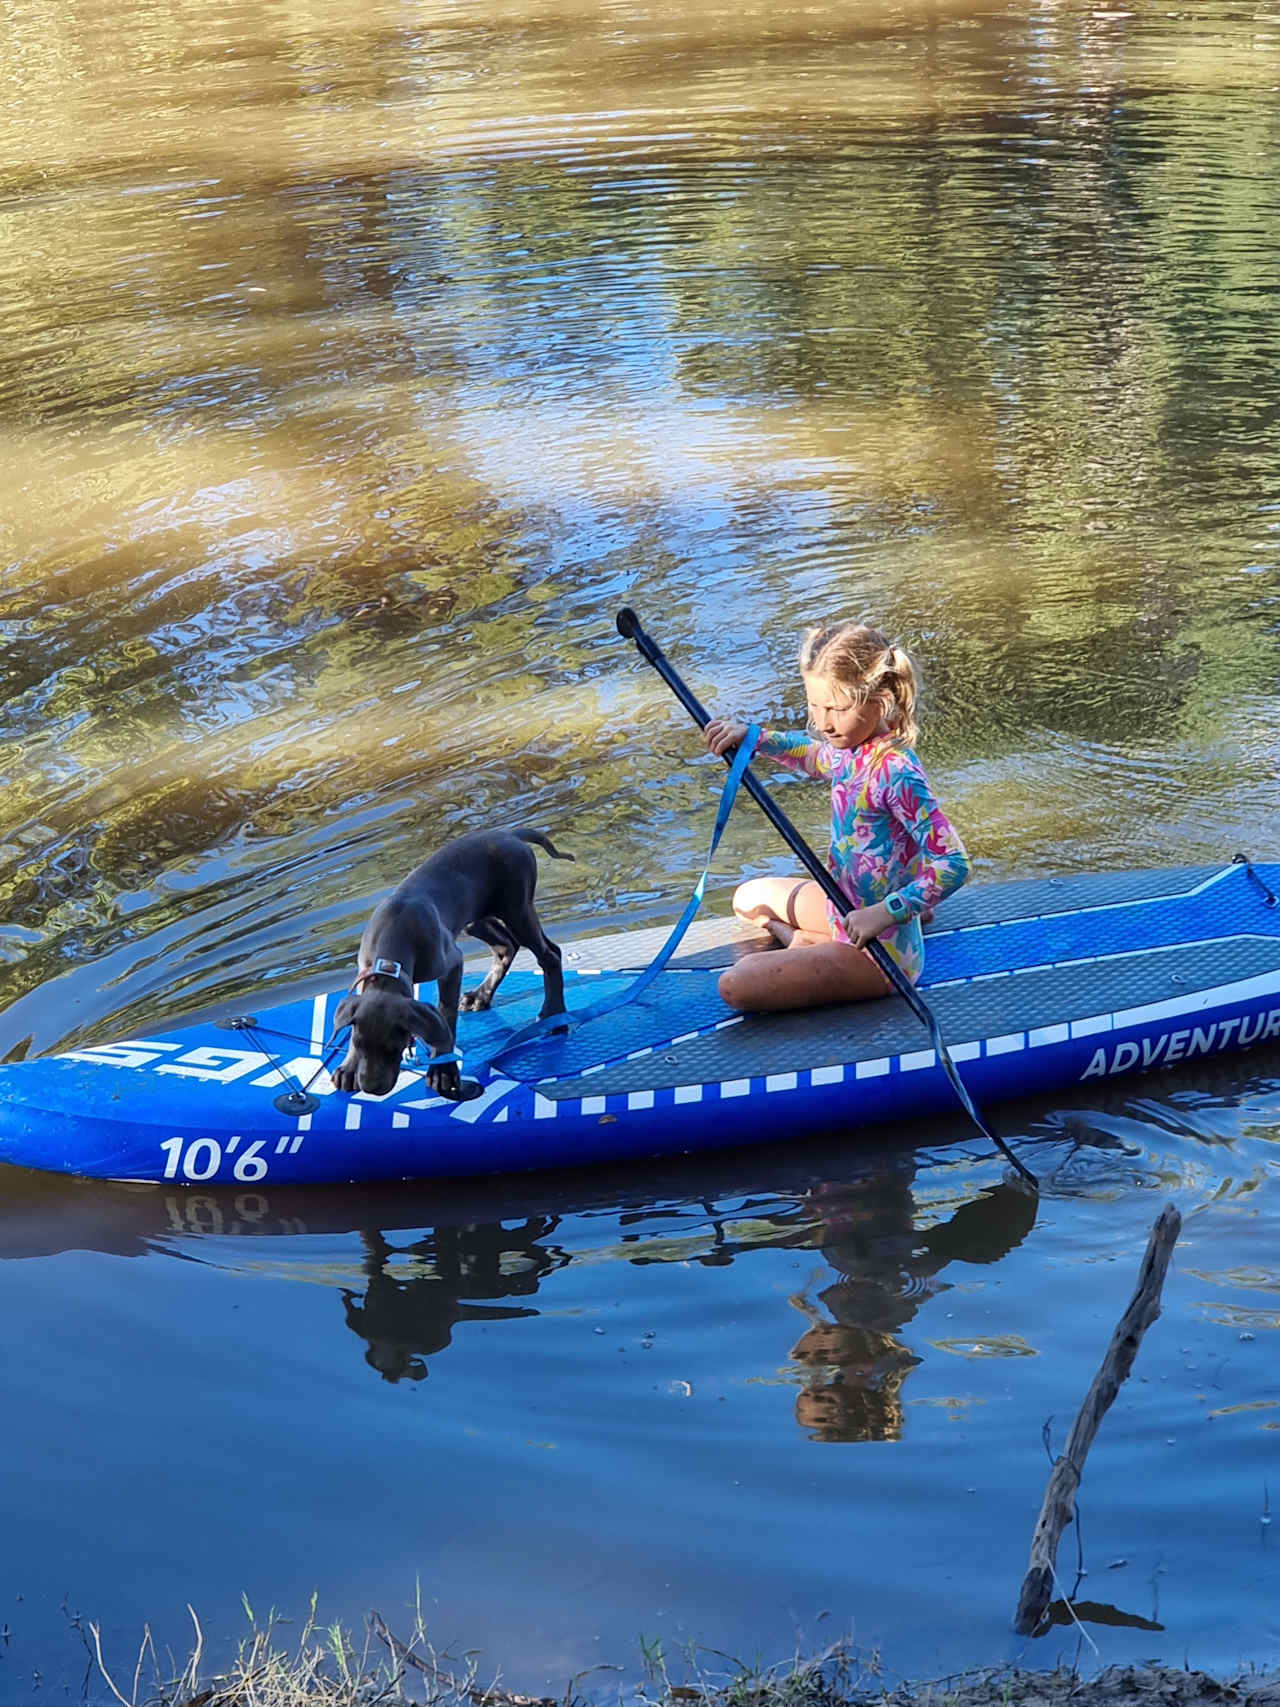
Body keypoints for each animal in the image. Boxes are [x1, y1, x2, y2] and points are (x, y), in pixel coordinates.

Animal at [332, 829, 573, 1099]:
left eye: (395, 1047)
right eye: (359, 1044)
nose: (372, 1089)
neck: (388, 961)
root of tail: (509, 833)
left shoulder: (452, 963)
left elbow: (445, 1014)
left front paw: (443, 1070)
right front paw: (348, 1068)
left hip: (517, 909)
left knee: (549, 955)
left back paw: (553, 1014)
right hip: (475, 917)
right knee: (507, 947)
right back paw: (480, 996)